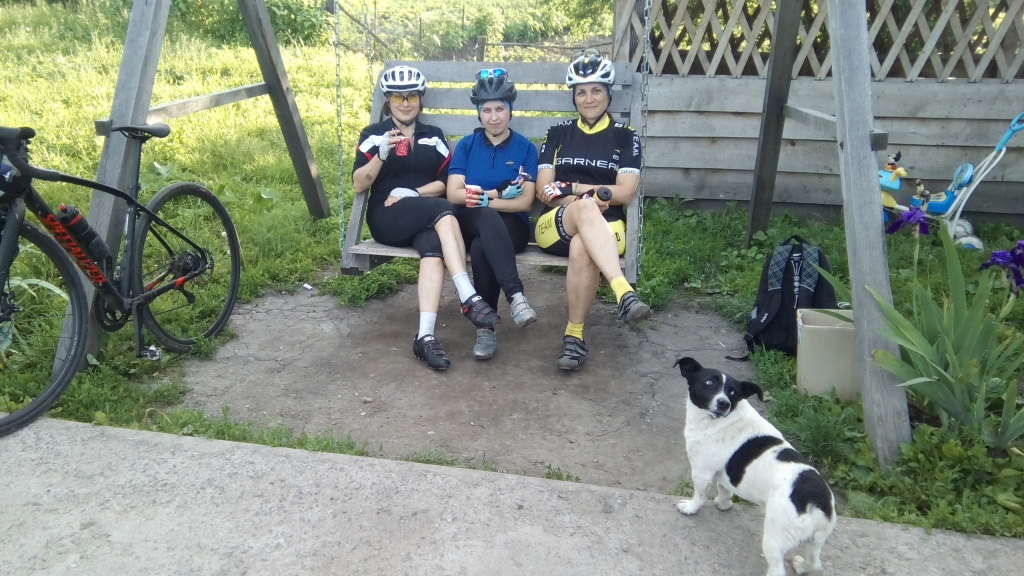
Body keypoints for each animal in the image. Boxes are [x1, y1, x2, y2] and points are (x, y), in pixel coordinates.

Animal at [673, 357, 836, 576]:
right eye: (710, 383)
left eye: (733, 392)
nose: (724, 403)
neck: (725, 418)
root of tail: (816, 501)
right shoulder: (722, 474)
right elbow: (724, 489)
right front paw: (723, 505)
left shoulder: (701, 472)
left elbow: (699, 496)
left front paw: (690, 508)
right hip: (816, 541)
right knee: (814, 563)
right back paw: (801, 565)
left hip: (774, 538)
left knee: (778, 569)